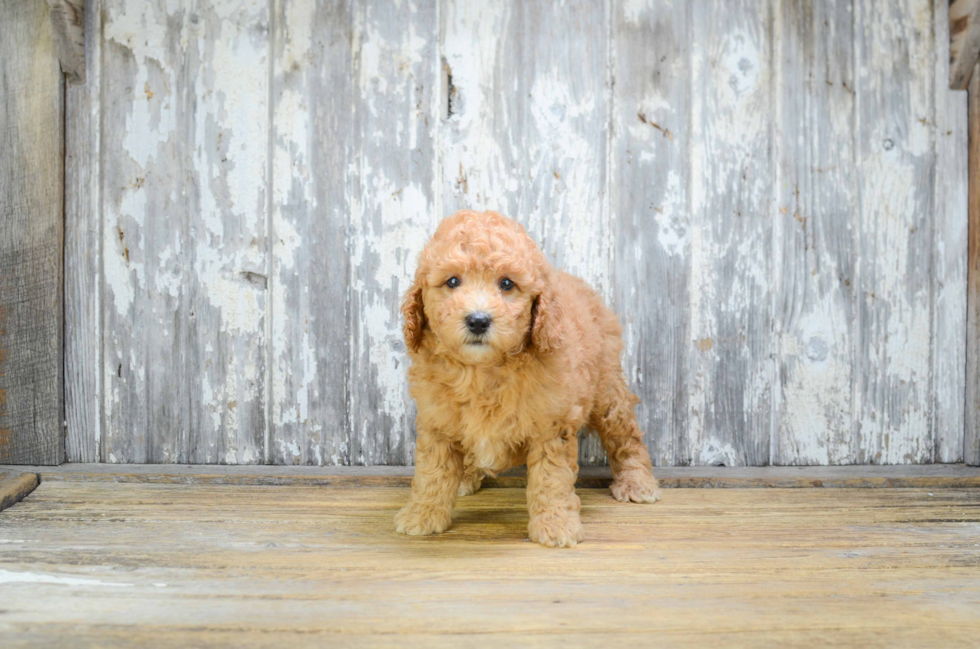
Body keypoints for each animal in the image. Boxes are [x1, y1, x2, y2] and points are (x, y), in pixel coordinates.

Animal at [394, 210, 664, 544]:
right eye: (452, 281)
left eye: (507, 284)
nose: (478, 320)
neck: (482, 371)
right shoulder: (436, 423)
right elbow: (433, 472)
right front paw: (423, 514)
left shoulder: (552, 425)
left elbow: (551, 479)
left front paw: (555, 525)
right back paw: (466, 475)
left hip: (607, 388)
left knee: (625, 435)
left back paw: (637, 481)